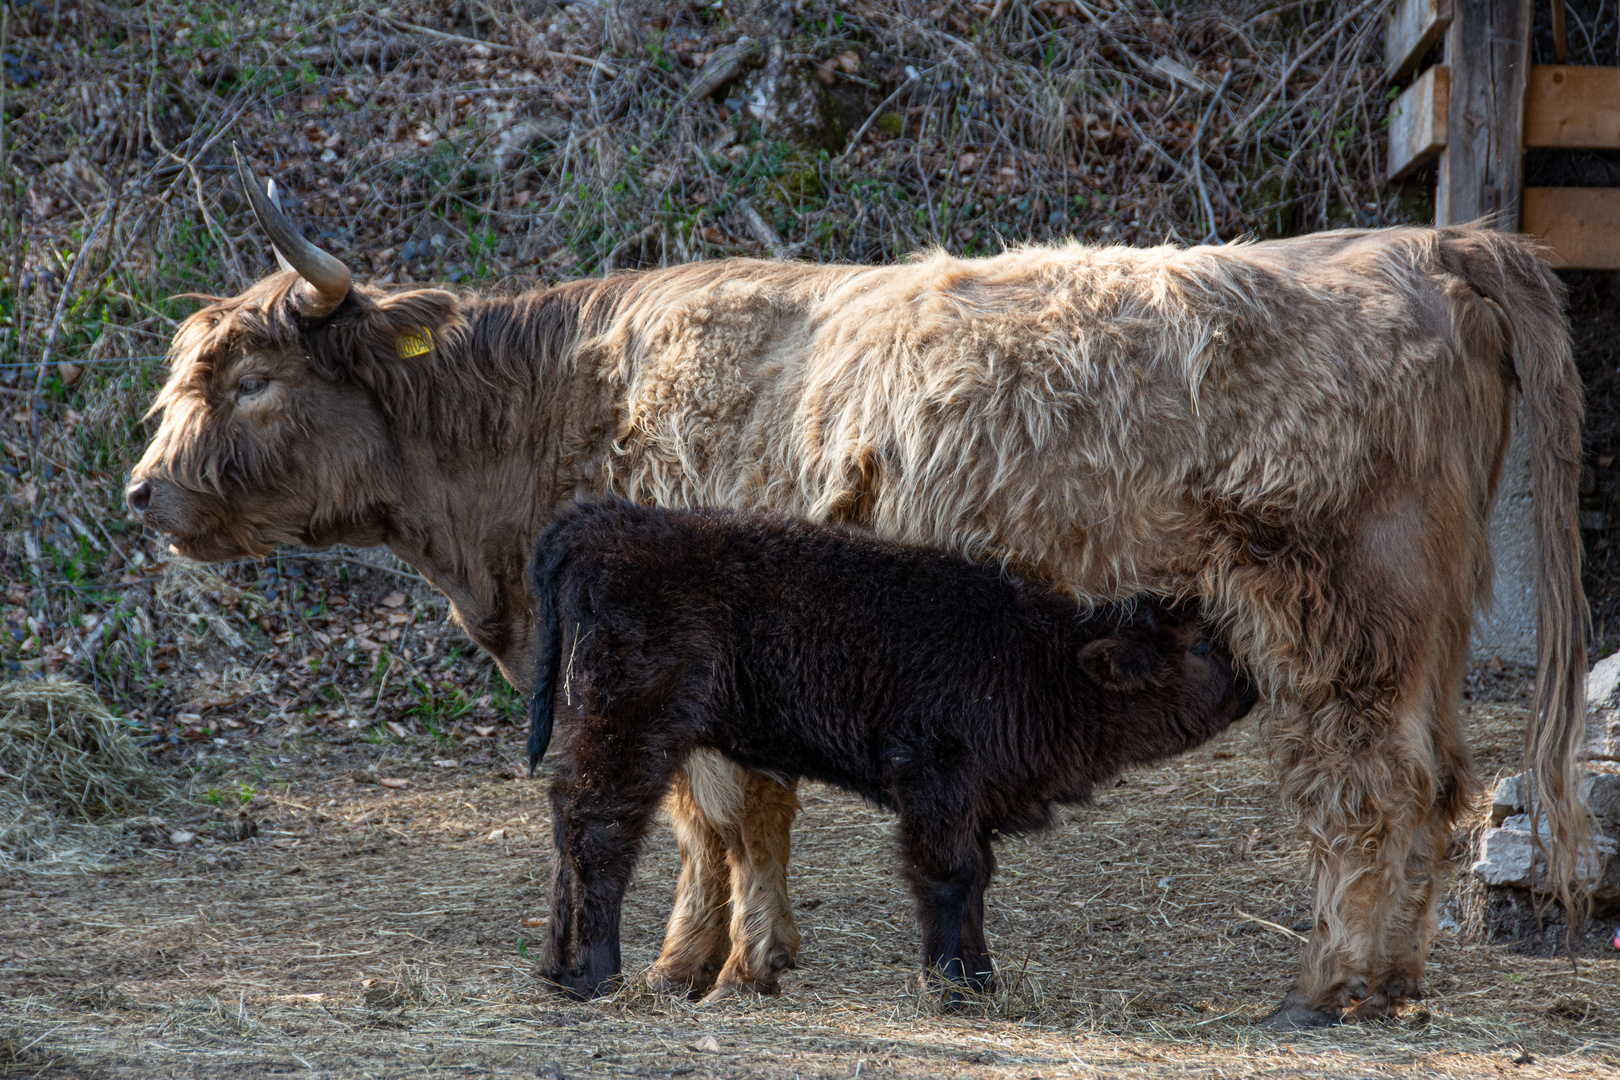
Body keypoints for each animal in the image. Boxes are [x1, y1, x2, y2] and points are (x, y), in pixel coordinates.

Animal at [524, 498, 1257, 1003]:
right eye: (1199, 644)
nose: (1252, 685)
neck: (1037, 659)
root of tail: (611, 520)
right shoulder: (935, 781)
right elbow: (948, 876)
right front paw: (955, 987)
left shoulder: (970, 804)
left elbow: (976, 880)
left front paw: (976, 980)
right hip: (630, 729)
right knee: (599, 825)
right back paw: (592, 974)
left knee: (572, 820)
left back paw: (559, 970)